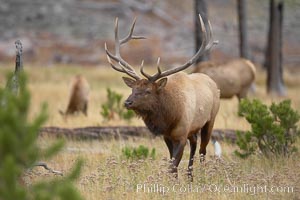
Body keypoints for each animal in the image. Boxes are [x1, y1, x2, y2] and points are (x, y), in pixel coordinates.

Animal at [105, 15, 220, 178]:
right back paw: (190, 176)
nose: (127, 102)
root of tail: (213, 82)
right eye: (133, 88)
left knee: (203, 150)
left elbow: (173, 164)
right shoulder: (167, 136)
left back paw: (202, 174)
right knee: (194, 143)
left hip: (210, 120)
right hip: (193, 129)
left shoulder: (181, 134)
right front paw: (175, 179)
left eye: (148, 91)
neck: (171, 117)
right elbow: (172, 164)